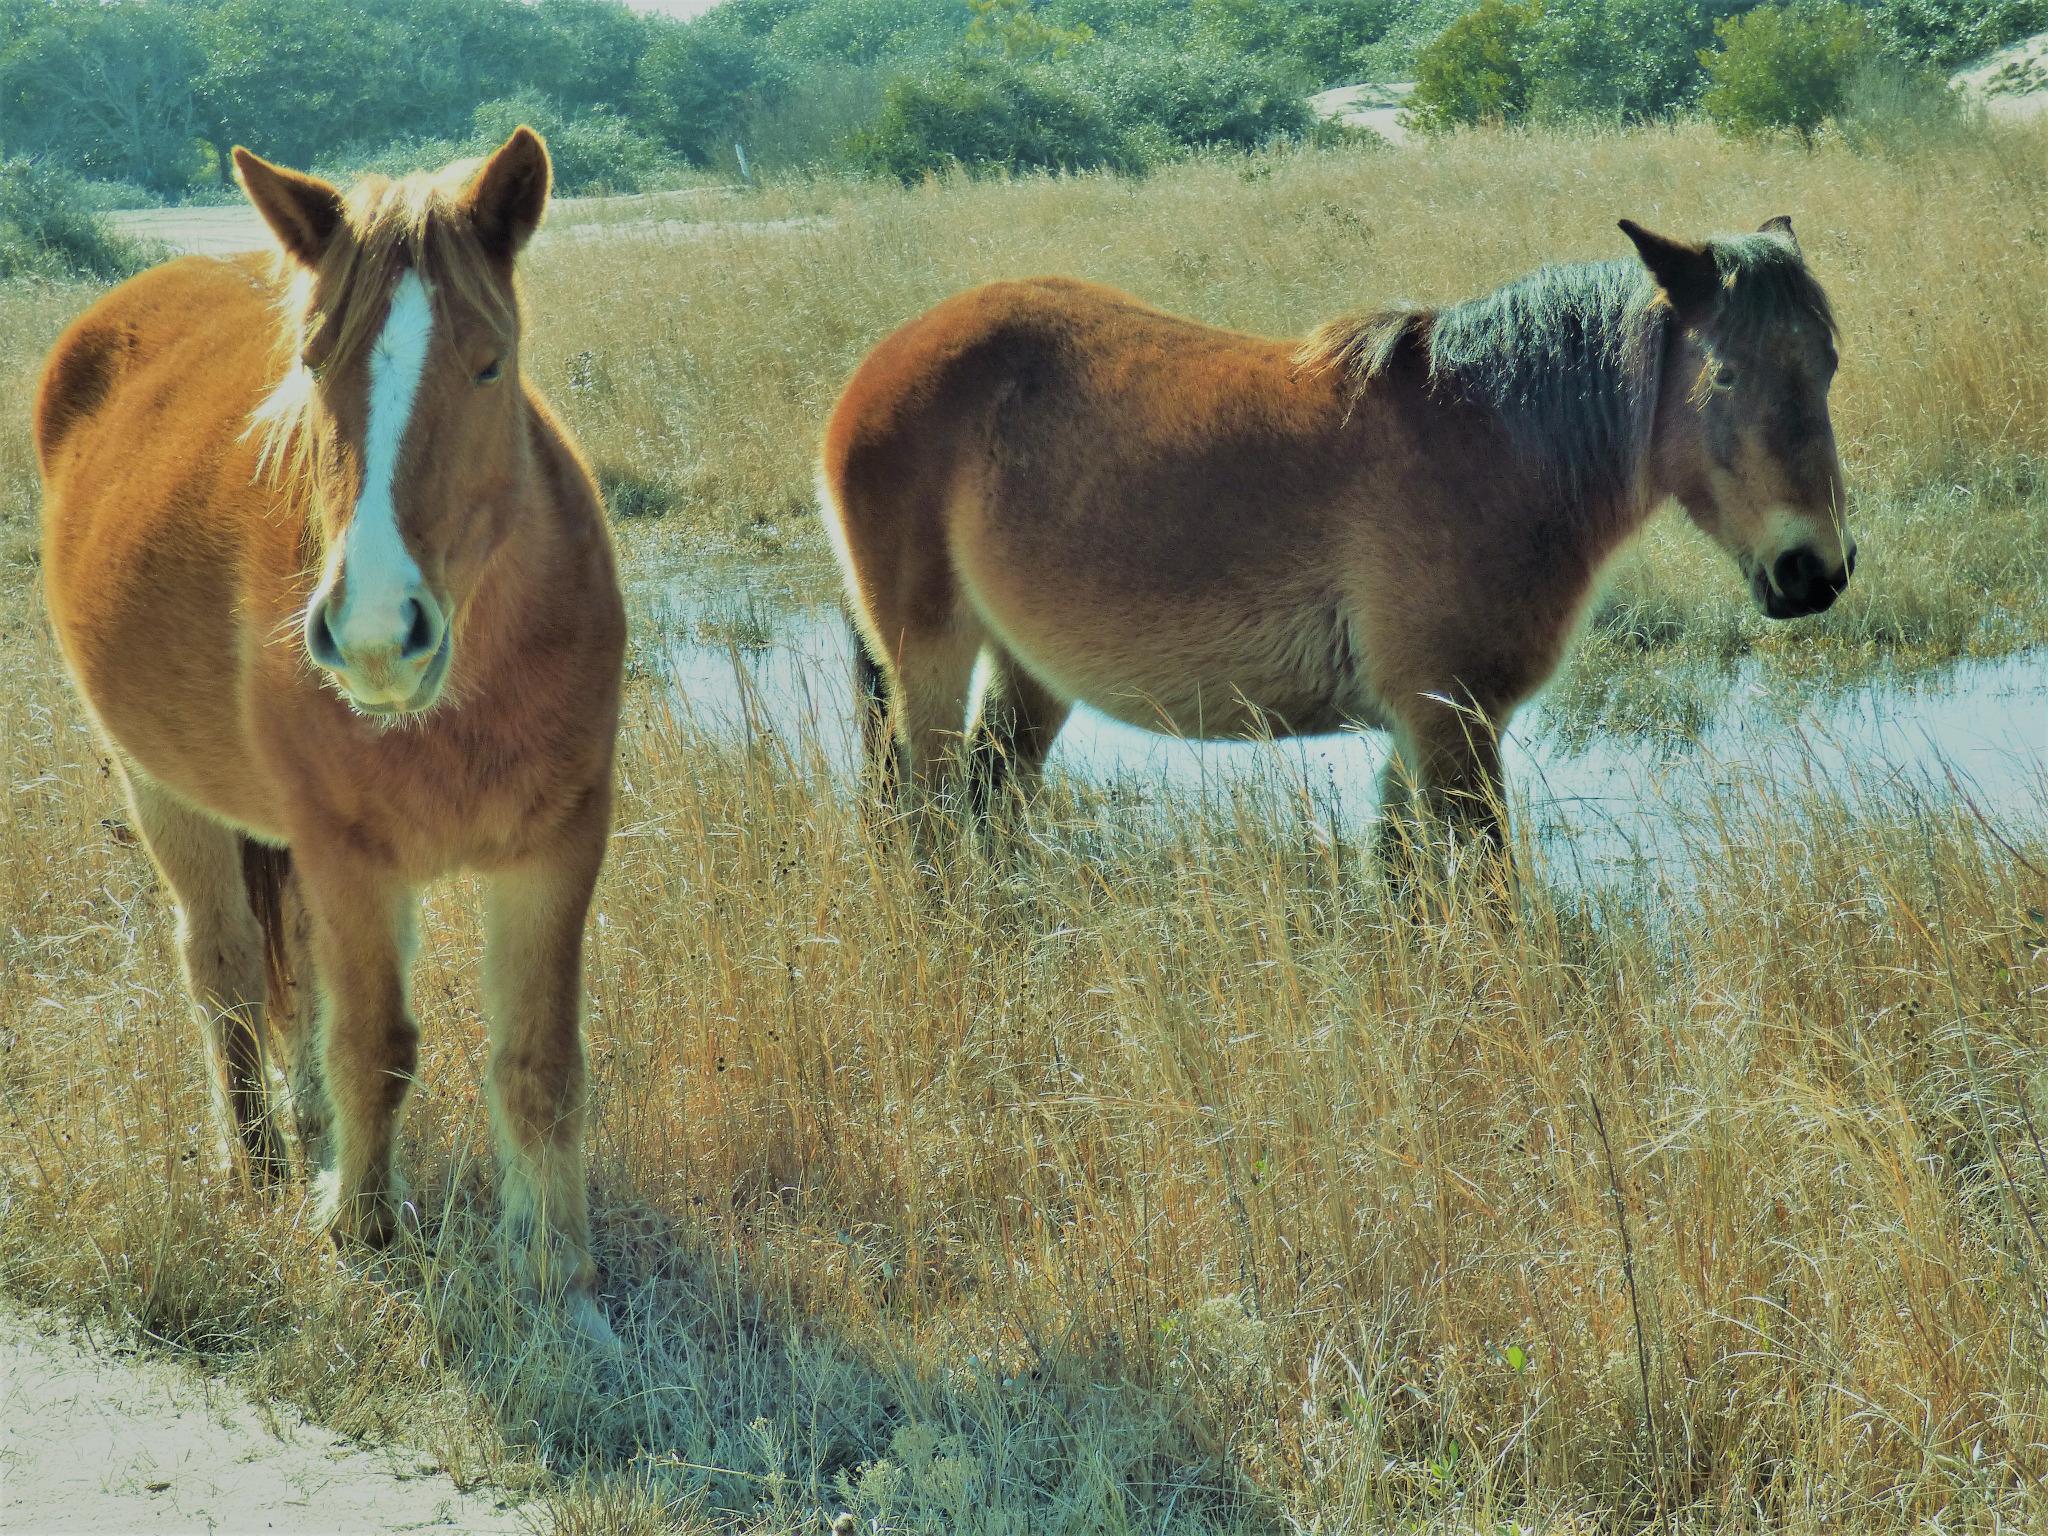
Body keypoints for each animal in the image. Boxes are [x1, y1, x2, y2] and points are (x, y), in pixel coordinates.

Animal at [34, 129, 622, 1335]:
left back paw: (306, 1131)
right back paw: (257, 1161)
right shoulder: (353, 857)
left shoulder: (556, 849)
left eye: (489, 363)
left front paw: (560, 1274)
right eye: (312, 364)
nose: (374, 634)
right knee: (223, 967)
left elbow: (540, 1062)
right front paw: (359, 1227)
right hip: (163, 793)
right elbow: (378, 1044)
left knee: (291, 966)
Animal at [819, 219, 1859, 856]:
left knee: (986, 801)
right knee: (926, 812)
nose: (1815, 571)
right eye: (1726, 377)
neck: (1493, 445)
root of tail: (880, 364)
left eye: (1828, 367)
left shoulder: (1423, 729)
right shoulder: (1451, 725)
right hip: (928, 661)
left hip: (1030, 671)